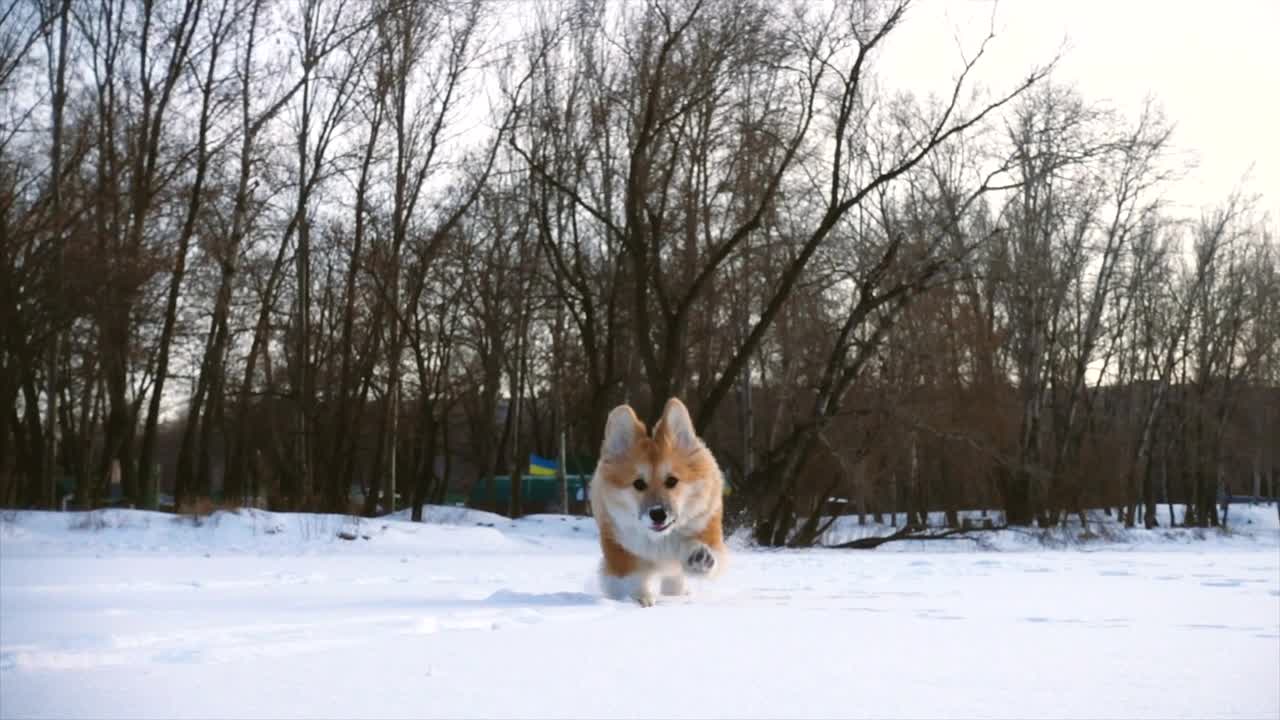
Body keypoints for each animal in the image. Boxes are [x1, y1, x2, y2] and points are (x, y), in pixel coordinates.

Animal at [588, 394, 732, 602]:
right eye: (639, 484)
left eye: (672, 481)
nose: (658, 514)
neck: (660, 540)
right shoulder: (618, 544)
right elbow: (630, 578)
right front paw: (642, 599)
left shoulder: (705, 523)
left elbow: (707, 552)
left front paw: (699, 557)